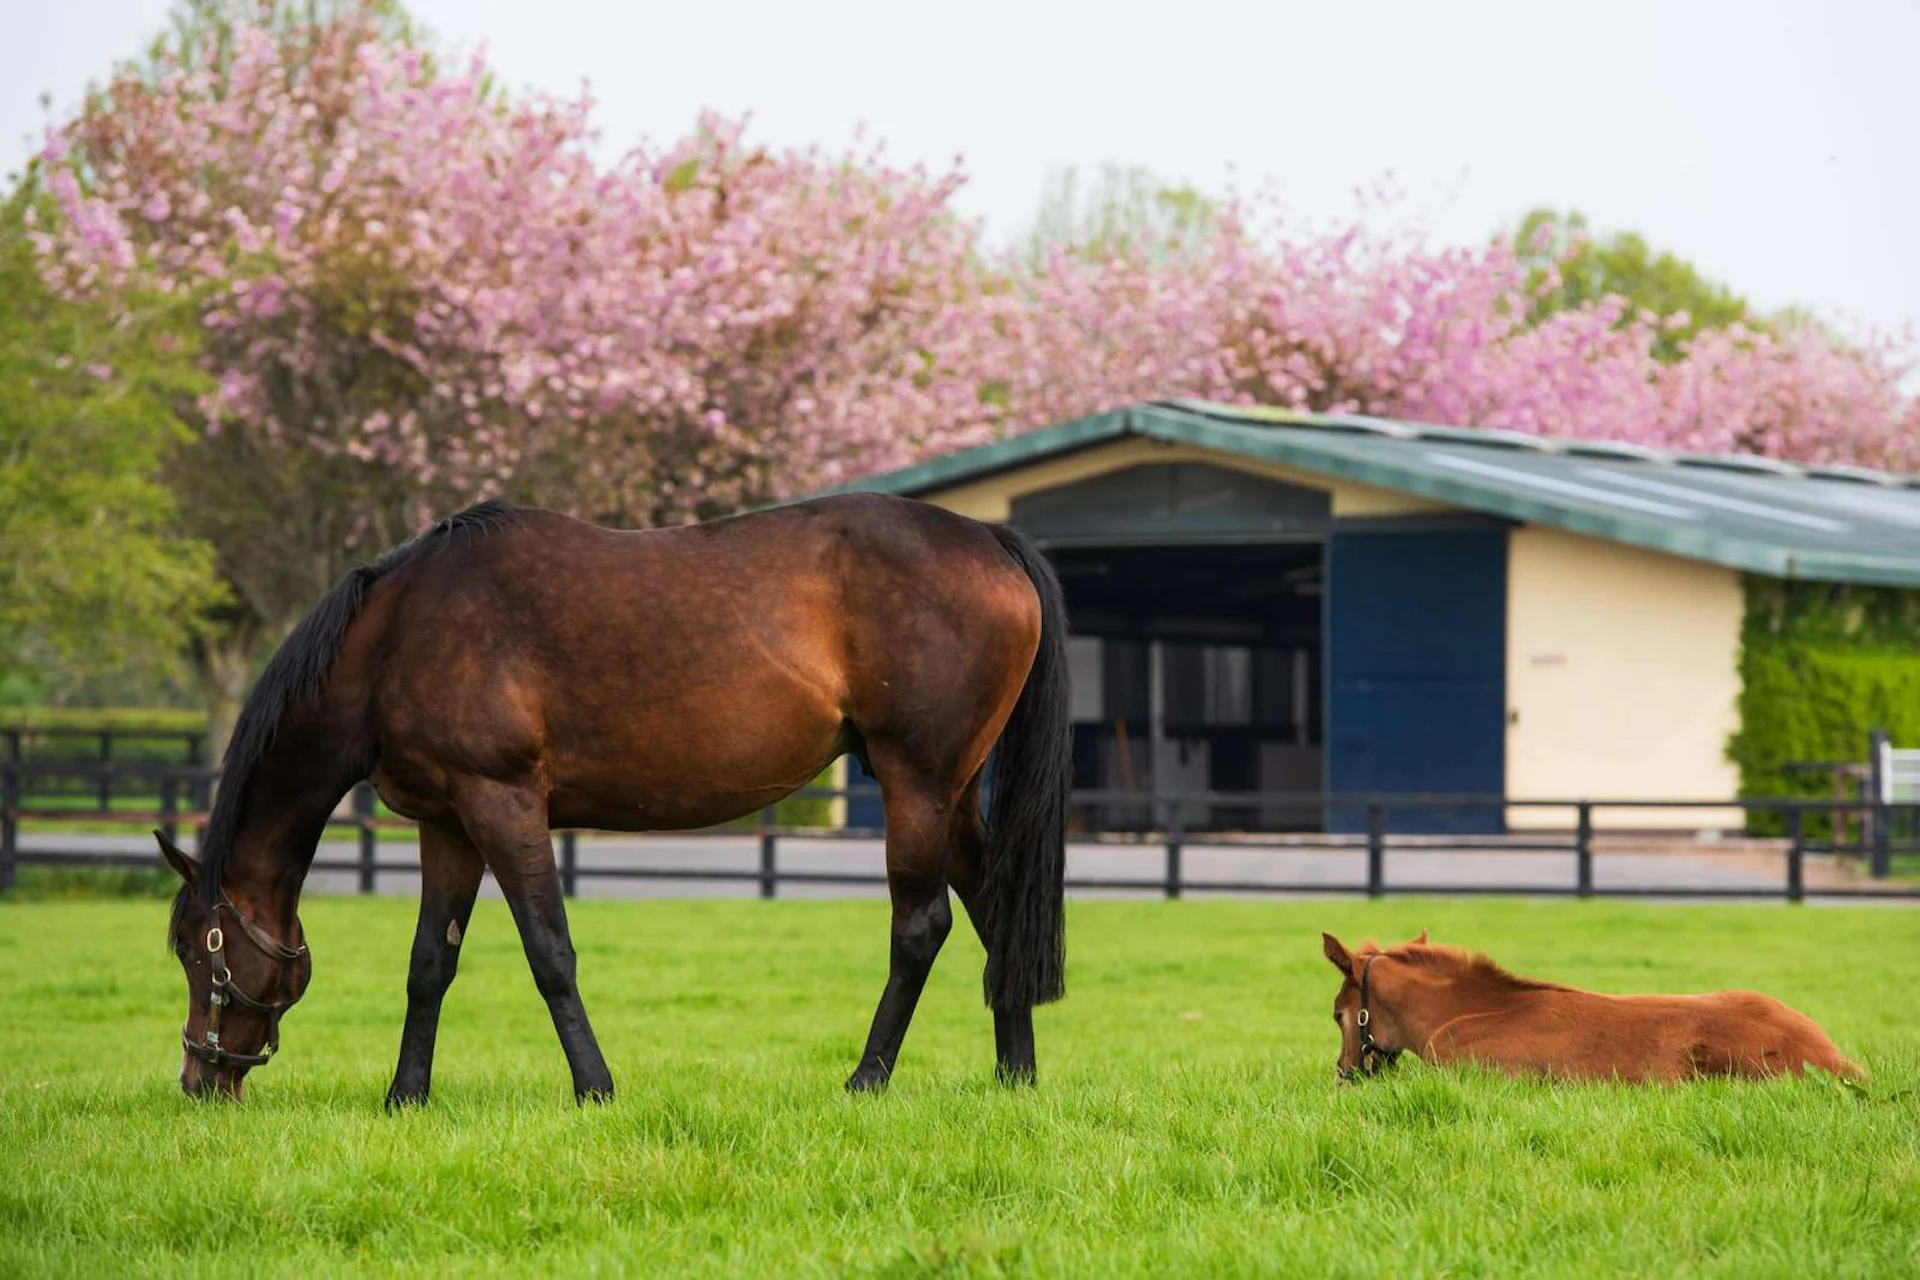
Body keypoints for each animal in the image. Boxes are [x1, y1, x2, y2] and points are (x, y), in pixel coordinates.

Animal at [158, 493, 1071, 1104]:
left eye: (198, 950)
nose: (201, 1079)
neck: (397, 635)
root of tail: (988, 537)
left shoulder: (502, 804)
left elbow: (549, 954)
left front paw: (594, 1086)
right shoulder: (448, 824)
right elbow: (429, 963)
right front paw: (405, 1097)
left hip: (918, 784)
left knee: (921, 928)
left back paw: (867, 1077)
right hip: (951, 793)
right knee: (996, 912)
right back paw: (1016, 1075)